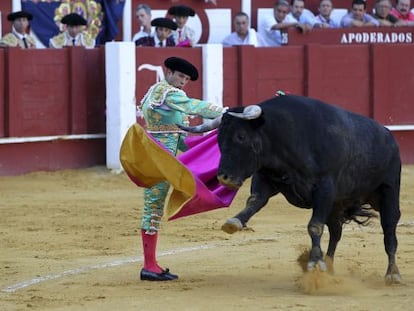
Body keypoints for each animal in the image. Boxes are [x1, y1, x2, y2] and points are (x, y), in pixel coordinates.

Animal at [181, 94, 402, 286]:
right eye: (219, 138)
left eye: (241, 136)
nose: (223, 178)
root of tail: (389, 137)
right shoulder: (266, 177)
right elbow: (254, 201)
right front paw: (234, 222)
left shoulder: (325, 188)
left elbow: (314, 226)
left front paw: (314, 262)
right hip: (336, 205)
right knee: (336, 232)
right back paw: (329, 266)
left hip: (388, 193)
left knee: (389, 232)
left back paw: (393, 274)